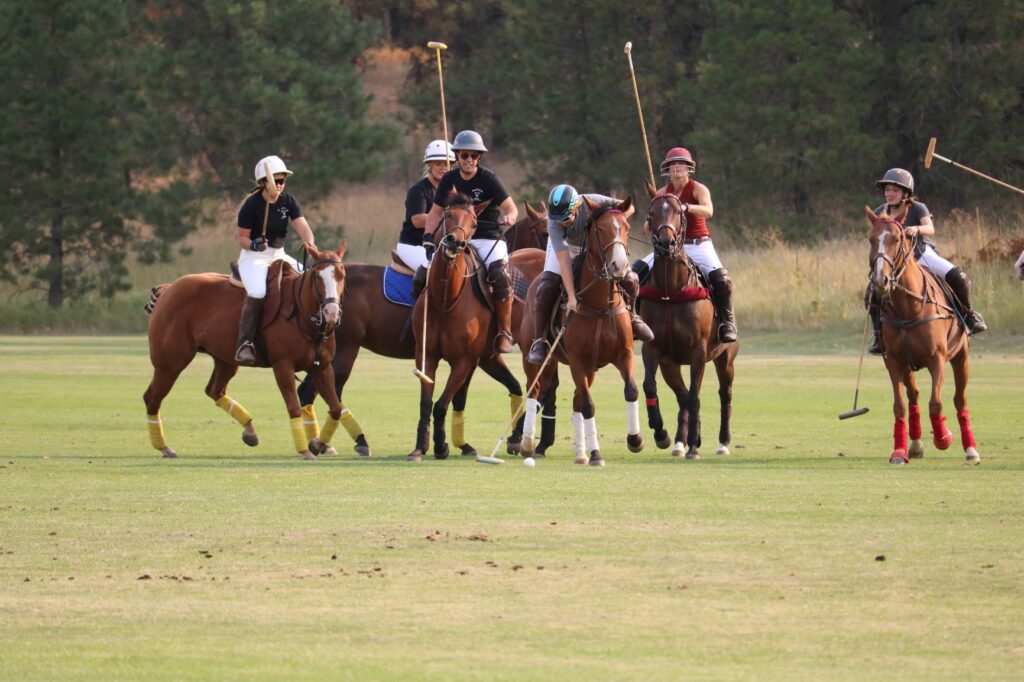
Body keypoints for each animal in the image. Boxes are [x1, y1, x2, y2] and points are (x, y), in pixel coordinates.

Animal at [141, 241, 348, 458]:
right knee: (152, 398)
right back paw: (164, 447)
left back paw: (250, 431)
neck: (303, 317)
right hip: (170, 362)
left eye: (342, 274)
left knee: (214, 390)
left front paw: (318, 445)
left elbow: (336, 408)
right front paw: (305, 450)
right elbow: (294, 408)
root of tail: (169, 289)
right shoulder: (283, 366)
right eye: (317, 276)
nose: (331, 313)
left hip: (226, 360)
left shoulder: (322, 367)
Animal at [411, 192, 548, 456]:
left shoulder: (467, 360)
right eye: (447, 214)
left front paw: (444, 445)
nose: (455, 243)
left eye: (474, 223)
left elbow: (445, 402)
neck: (446, 299)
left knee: (537, 387)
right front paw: (421, 447)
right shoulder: (432, 356)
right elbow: (426, 402)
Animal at [520, 193, 638, 464]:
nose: (619, 265)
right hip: (535, 357)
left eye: (626, 228)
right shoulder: (577, 360)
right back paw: (527, 444)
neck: (600, 305)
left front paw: (634, 440)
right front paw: (596, 455)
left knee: (574, 398)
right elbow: (588, 405)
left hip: (583, 367)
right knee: (534, 390)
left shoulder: (624, 354)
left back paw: (580, 453)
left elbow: (631, 390)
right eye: (601, 230)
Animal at [638, 191, 737, 456]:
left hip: (726, 358)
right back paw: (680, 442)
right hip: (669, 364)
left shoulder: (698, 352)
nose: (666, 243)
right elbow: (649, 386)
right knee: (682, 396)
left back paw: (722, 443)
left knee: (724, 394)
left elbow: (696, 395)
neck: (671, 291)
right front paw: (661, 433)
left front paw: (694, 446)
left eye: (679, 212)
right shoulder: (652, 348)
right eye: (651, 213)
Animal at [868, 204, 978, 464]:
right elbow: (899, 405)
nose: (880, 280)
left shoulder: (938, 358)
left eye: (897, 239)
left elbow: (936, 403)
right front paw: (899, 452)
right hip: (908, 365)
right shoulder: (893, 361)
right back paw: (915, 445)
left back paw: (970, 449)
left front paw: (944, 438)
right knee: (913, 396)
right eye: (870, 239)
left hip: (961, 356)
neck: (908, 307)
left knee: (959, 399)